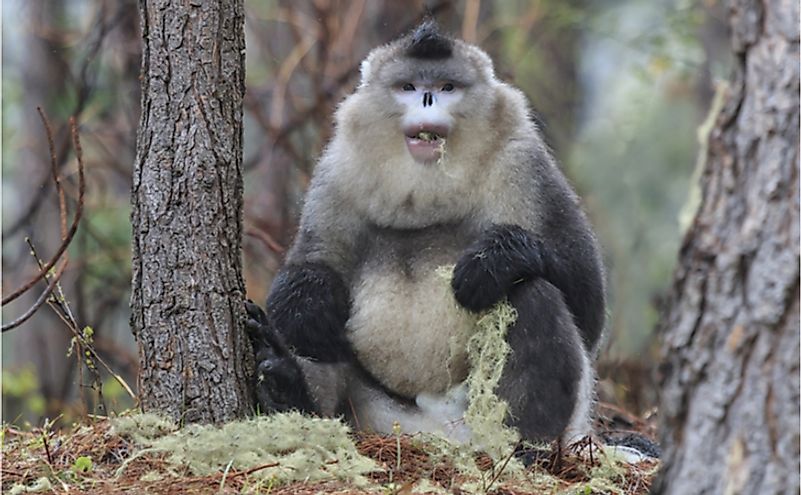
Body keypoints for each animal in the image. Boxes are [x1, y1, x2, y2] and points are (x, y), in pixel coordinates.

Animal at [247, 20, 604, 446]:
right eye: (409, 87)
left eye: (447, 86)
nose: (429, 99)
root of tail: (439, 427)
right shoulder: (336, 173)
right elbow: (310, 270)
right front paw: (307, 302)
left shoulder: (523, 165)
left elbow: (588, 304)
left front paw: (496, 260)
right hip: (375, 412)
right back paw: (287, 385)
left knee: (533, 293)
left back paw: (524, 446)